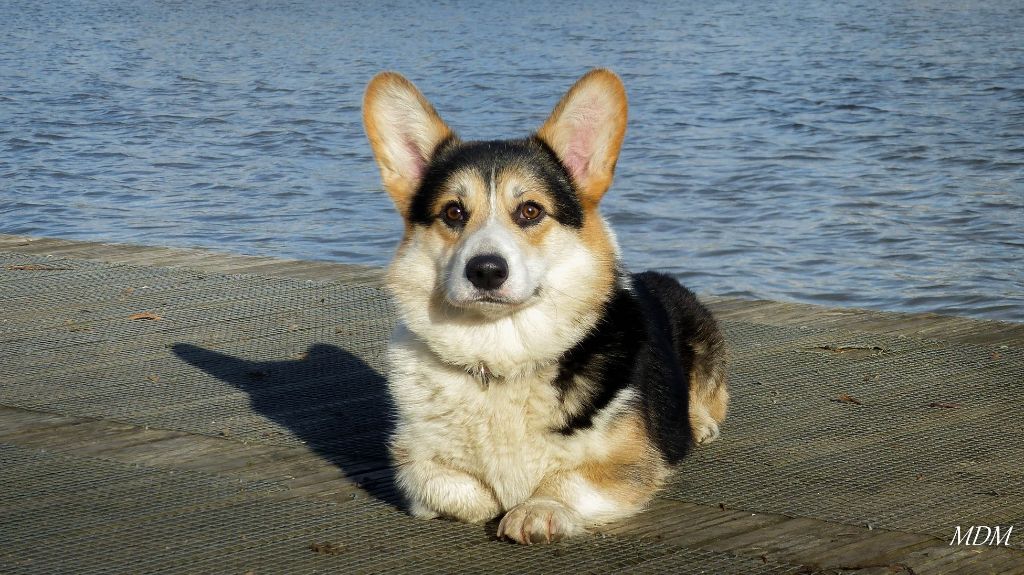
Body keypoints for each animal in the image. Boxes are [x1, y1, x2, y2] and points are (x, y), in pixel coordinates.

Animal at [362, 69, 728, 544]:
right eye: (454, 212)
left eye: (531, 211)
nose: (485, 271)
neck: (500, 351)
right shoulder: (411, 457)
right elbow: (444, 485)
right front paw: (488, 500)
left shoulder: (631, 461)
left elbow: (568, 480)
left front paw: (537, 509)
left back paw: (699, 423)